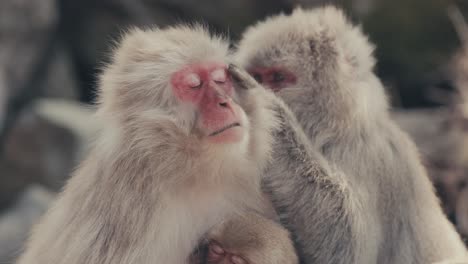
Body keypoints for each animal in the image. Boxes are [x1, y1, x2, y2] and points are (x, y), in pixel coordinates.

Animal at [236, 5, 468, 264]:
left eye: (277, 78)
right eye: (258, 75)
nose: (261, 85)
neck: (334, 130)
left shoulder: (368, 155)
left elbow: (347, 247)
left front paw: (269, 112)